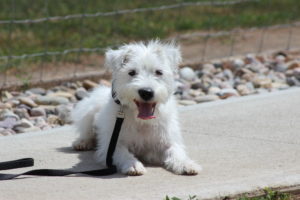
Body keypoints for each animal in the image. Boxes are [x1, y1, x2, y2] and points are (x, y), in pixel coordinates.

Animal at [71, 40, 200, 175]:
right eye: (132, 72)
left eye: (158, 72)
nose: (146, 92)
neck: (142, 121)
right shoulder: (112, 145)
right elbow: (123, 153)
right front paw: (133, 165)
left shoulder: (168, 141)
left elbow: (176, 151)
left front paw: (186, 164)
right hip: (88, 112)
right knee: (86, 131)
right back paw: (82, 142)